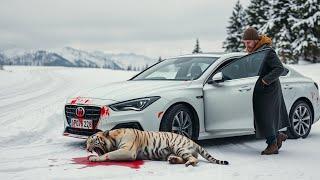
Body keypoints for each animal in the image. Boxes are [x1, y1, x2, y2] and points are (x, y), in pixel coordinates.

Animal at [86, 128, 229, 166]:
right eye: (87, 142)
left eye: (92, 141)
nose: (87, 148)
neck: (113, 137)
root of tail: (194, 142)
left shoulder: (128, 151)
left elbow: (107, 154)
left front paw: (93, 158)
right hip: (176, 151)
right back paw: (173, 160)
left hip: (178, 146)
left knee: (194, 159)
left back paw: (188, 163)